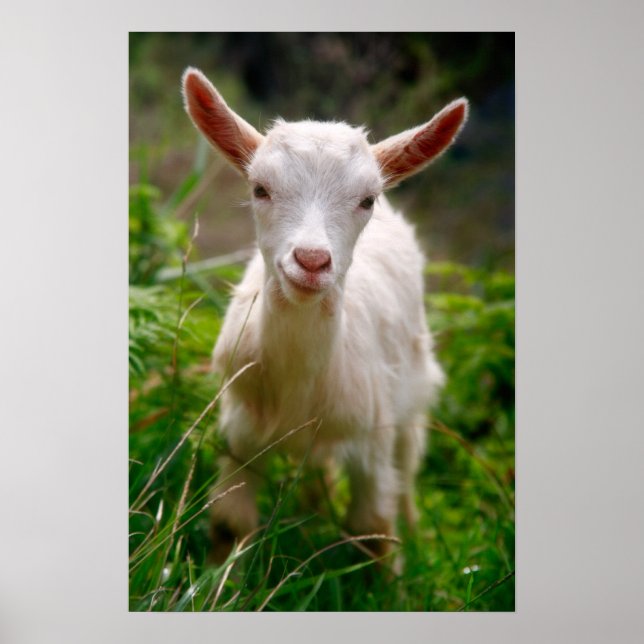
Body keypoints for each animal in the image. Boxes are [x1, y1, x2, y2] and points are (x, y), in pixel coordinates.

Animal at [182, 67, 468, 565]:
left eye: (367, 200)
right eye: (260, 188)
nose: (312, 260)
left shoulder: (373, 437)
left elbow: (373, 530)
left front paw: (392, 580)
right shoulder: (240, 431)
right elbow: (230, 522)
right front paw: (216, 578)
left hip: (413, 390)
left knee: (408, 466)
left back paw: (417, 536)